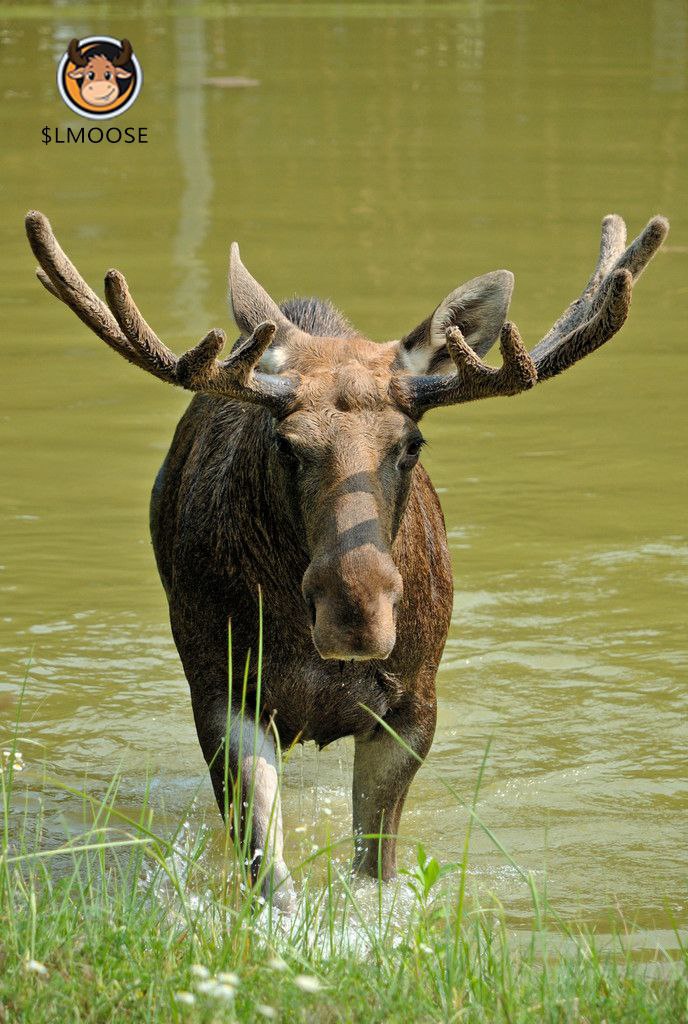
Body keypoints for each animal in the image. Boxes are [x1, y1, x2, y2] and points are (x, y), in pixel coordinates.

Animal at [25, 210, 668, 911]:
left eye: (411, 444)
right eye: (286, 444)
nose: (356, 613)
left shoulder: (414, 703)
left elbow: (374, 867)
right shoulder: (222, 690)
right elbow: (269, 872)